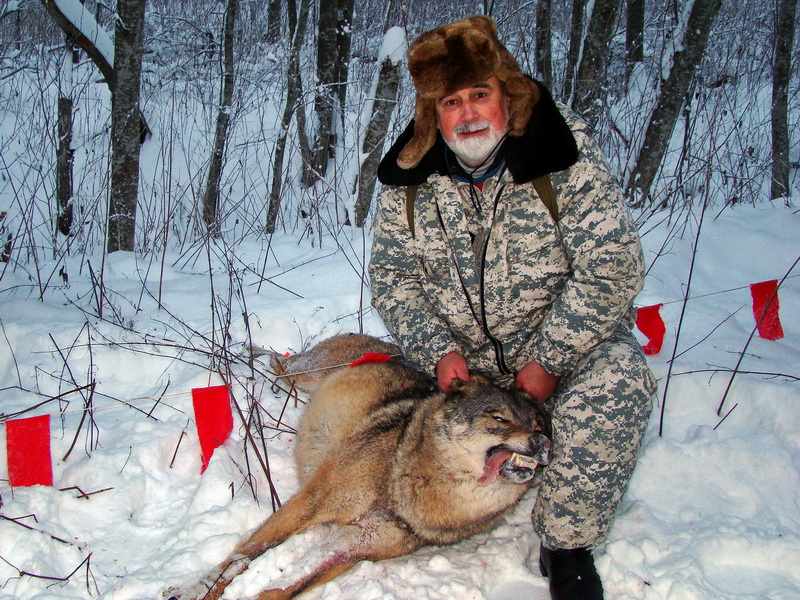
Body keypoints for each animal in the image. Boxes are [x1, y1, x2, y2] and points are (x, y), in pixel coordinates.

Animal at [162, 332, 552, 600]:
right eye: (499, 418)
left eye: (537, 425)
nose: (542, 444)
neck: (403, 488)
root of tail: (385, 344)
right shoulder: (311, 503)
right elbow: (240, 558)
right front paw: (191, 592)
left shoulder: (351, 546)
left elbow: (283, 589)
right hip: (304, 375)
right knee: (279, 361)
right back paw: (247, 357)